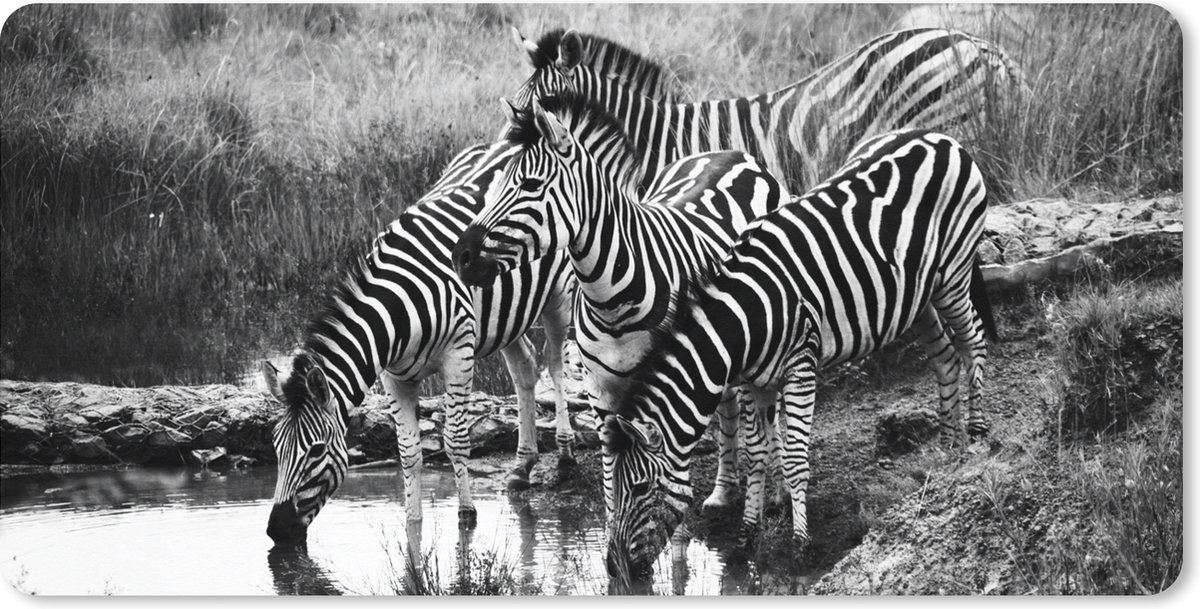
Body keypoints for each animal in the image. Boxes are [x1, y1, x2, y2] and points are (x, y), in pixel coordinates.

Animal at [262, 35, 691, 544]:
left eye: (313, 451)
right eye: (275, 449)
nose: (276, 531)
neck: (396, 312)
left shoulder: (459, 353)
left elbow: (456, 439)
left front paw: (466, 516)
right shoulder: (393, 377)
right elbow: (409, 453)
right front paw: (413, 524)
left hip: (558, 298)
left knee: (552, 362)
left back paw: (565, 453)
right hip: (505, 313)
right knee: (525, 369)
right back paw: (522, 465)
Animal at [451, 91, 789, 518]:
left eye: (529, 185)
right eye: (495, 184)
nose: (460, 256)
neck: (612, 300)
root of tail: (729, 152)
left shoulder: (668, 382)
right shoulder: (602, 394)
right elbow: (614, 480)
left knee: (765, 410)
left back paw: (777, 493)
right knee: (730, 406)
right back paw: (723, 492)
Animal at [601, 129, 994, 577]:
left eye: (640, 487)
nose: (613, 569)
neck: (744, 320)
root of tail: (940, 136)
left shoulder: (800, 365)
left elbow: (793, 459)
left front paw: (799, 544)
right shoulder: (753, 379)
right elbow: (756, 453)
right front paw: (748, 534)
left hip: (954, 273)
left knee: (973, 341)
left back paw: (977, 435)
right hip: (920, 295)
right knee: (946, 356)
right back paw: (947, 447)